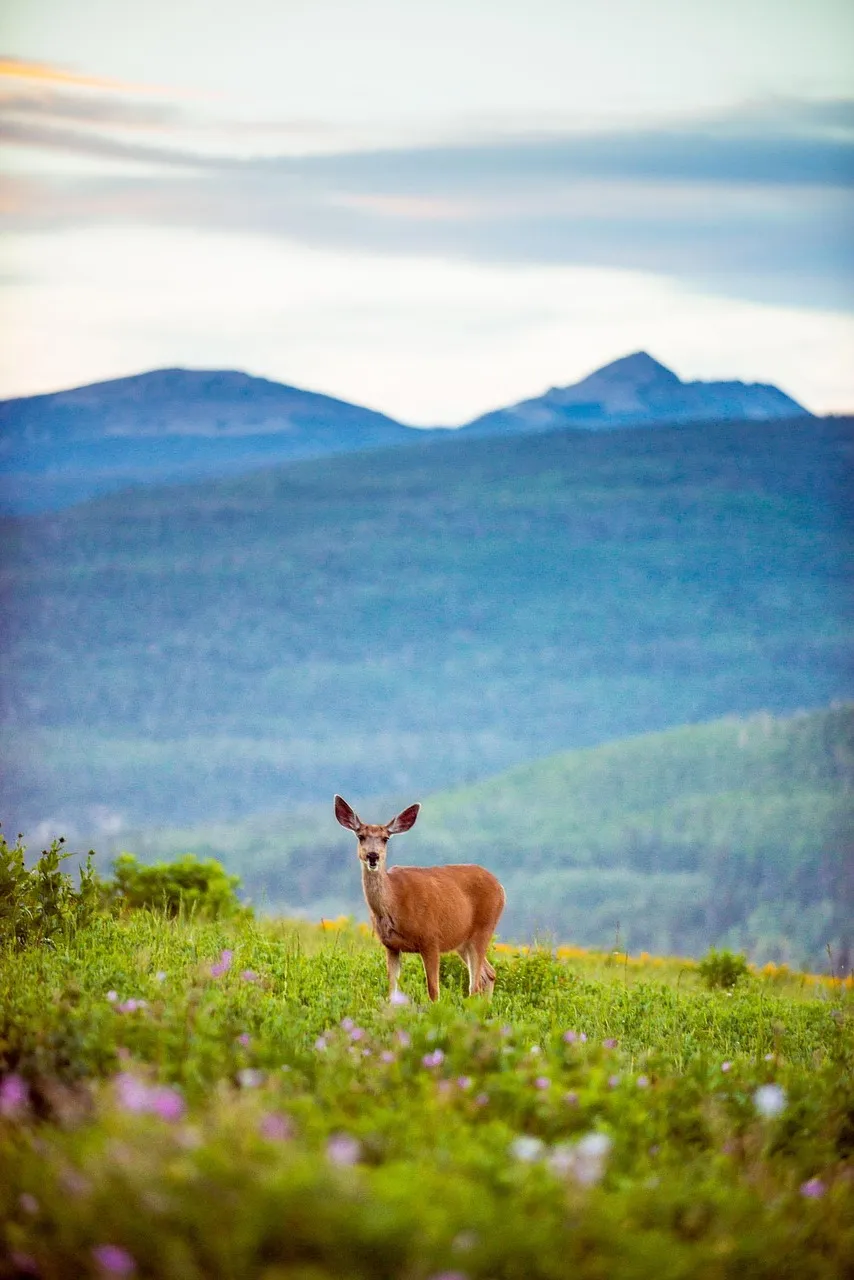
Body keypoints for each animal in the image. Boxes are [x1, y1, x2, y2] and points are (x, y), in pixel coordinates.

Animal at [334, 795, 505, 1003]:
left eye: (385, 838)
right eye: (360, 836)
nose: (372, 855)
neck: (395, 902)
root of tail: (500, 886)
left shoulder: (430, 938)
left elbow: (433, 992)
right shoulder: (390, 945)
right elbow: (392, 990)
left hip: (484, 928)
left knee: (475, 984)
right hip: (462, 940)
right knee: (488, 974)